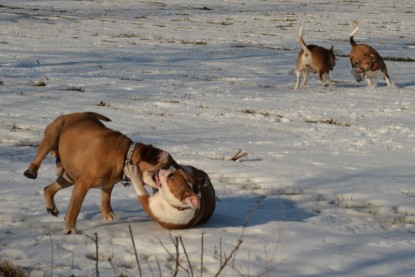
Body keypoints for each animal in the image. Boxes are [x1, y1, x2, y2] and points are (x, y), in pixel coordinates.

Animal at [23, 111, 167, 233]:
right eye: (165, 163)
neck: (125, 155)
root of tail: (77, 113)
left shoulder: (107, 184)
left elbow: (105, 198)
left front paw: (108, 214)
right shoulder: (82, 184)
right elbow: (75, 208)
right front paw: (70, 229)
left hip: (69, 177)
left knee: (48, 188)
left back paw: (51, 207)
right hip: (53, 134)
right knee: (40, 156)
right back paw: (31, 171)